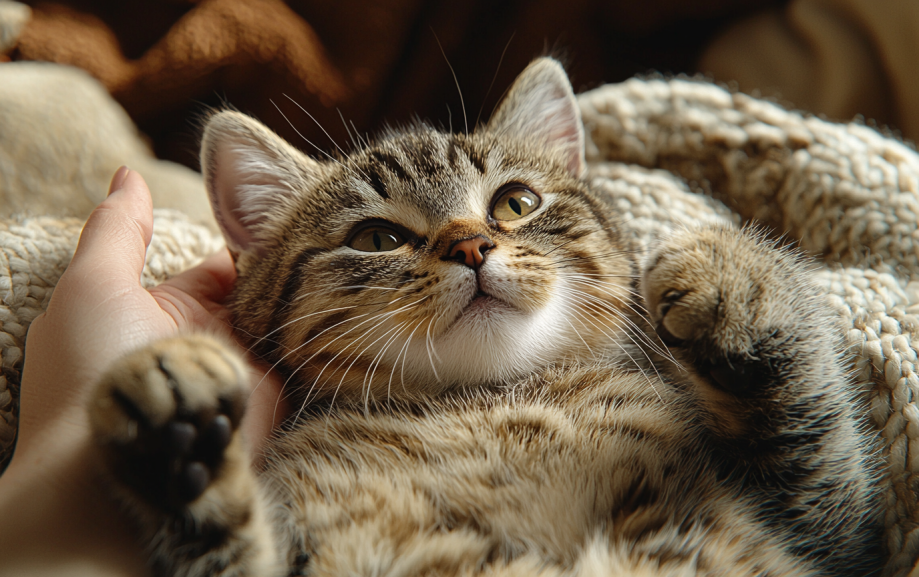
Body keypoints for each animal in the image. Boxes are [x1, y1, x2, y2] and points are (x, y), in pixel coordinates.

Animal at [88, 58, 884, 576]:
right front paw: (178, 434)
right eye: (376, 238)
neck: (484, 404)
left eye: (516, 203)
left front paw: (731, 279)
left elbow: (813, 430)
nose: (470, 245)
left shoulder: (812, 527)